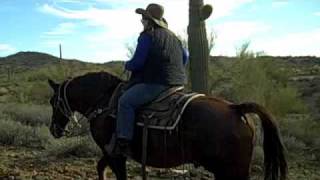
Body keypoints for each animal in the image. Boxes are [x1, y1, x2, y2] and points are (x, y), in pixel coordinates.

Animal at [47, 72, 288, 180]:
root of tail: (236, 108)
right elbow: (99, 166)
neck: (105, 101)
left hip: (231, 170)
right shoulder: (112, 152)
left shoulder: (114, 152)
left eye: (52, 101)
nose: (54, 130)